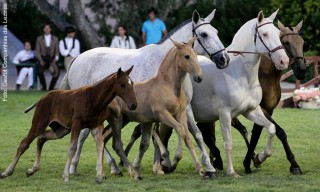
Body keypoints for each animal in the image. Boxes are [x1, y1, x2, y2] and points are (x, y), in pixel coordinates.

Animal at [0, 67, 136, 184]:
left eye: (132, 83)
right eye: (123, 84)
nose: (133, 105)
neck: (94, 98)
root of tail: (42, 98)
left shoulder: (96, 126)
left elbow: (99, 147)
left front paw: (98, 177)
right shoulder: (76, 124)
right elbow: (72, 149)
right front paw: (66, 176)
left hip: (61, 130)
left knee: (41, 138)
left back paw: (32, 169)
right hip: (39, 123)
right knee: (24, 143)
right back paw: (7, 172)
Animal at [62, 9, 228, 177]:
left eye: (216, 32)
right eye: (204, 34)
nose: (223, 59)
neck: (163, 67)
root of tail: (77, 58)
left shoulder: (184, 108)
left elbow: (195, 134)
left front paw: (209, 168)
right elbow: (153, 138)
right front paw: (159, 165)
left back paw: (109, 167)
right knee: (86, 134)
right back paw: (77, 167)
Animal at [156, 9, 288, 177]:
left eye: (278, 34)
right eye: (264, 34)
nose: (284, 61)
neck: (239, 74)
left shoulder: (251, 111)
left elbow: (271, 129)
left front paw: (259, 157)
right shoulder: (225, 114)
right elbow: (228, 143)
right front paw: (231, 172)